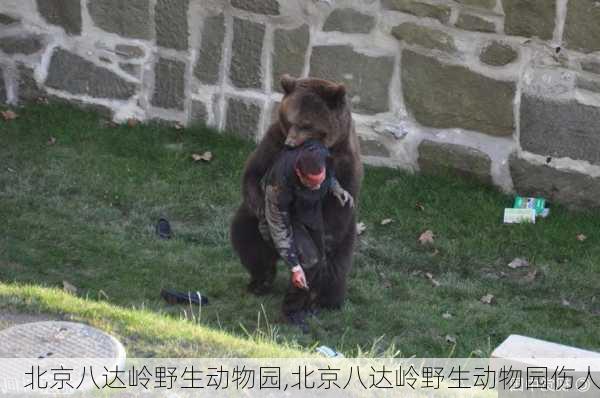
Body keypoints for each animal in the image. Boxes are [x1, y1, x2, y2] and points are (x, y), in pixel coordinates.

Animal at [229, 74, 360, 322]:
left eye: (307, 124)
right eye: (290, 120)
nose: (290, 143)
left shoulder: (344, 161)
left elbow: (337, 206)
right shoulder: (273, 141)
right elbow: (254, 171)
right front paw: (261, 207)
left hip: (347, 236)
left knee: (335, 267)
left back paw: (324, 300)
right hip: (255, 229)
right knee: (247, 238)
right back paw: (261, 281)